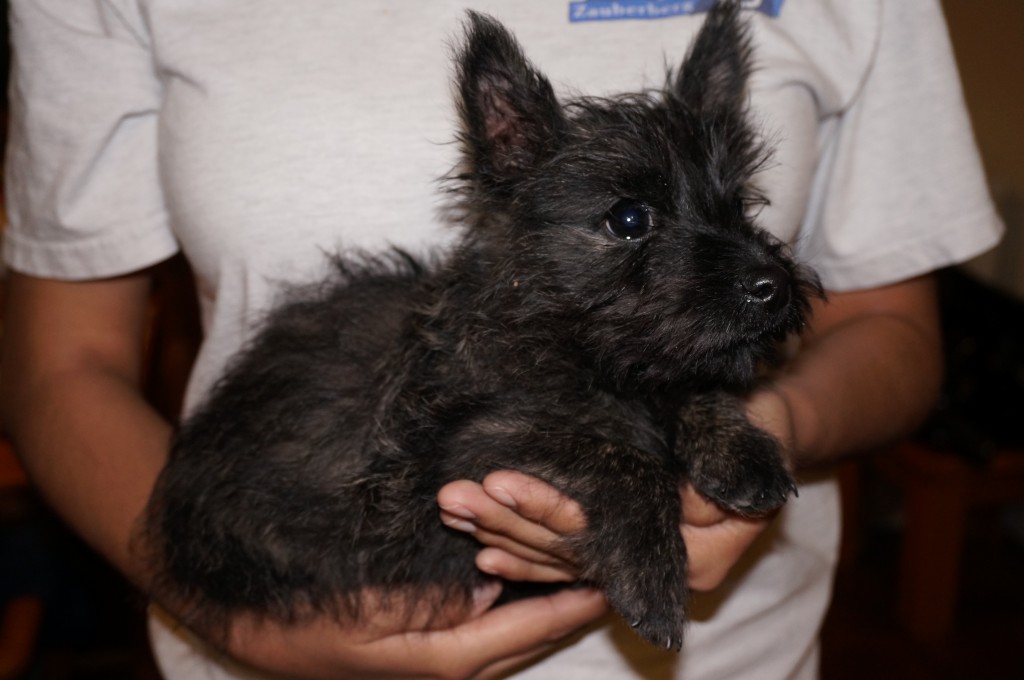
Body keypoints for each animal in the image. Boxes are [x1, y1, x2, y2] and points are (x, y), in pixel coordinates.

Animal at [144, 2, 819, 651]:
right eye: (629, 218)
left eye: (737, 204)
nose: (773, 286)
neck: (575, 349)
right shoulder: (441, 456)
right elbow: (614, 453)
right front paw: (652, 576)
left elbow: (689, 388)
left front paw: (739, 451)